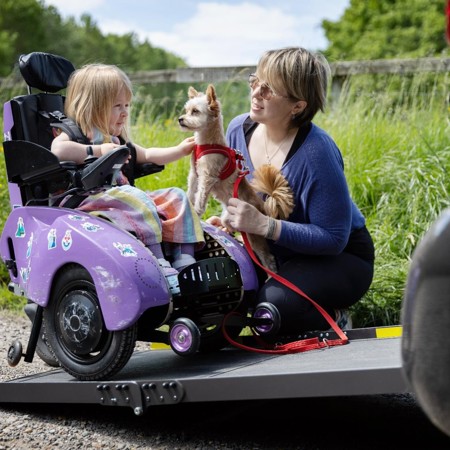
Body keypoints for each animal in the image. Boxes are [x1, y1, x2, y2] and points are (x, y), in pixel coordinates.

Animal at [178, 85, 294, 272]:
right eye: (187, 110)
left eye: (195, 111)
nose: (180, 119)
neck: (207, 143)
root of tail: (263, 206)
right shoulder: (194, 175)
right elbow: (191, 192)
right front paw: (187, 204)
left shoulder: (207, 177)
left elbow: (201, 198)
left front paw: (196, 212)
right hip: (229, 216)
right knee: (230, 225)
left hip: (254, 235)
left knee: (267, 257)